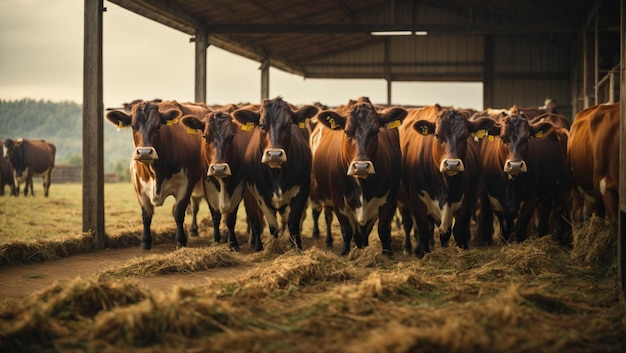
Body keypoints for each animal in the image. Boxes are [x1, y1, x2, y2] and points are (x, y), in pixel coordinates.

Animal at [103, 97, 208, 249]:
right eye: (133, 126)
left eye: (158, 126)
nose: (145, 152)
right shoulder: (139, 186)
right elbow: (146, 214)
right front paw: (145, 241)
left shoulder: (185, 184)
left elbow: (178, 212)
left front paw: (180, 240)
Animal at [179, 108, 262, 249]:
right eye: (205, 137)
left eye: (232, 136)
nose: (218, 168)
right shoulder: (208, 187)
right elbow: (215, 216)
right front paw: (216, 240)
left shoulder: (238, 189)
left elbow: (230, 219)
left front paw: (233, 243)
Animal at [229, 96, 316, 250]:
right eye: (262, 125)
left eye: (289, 125)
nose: (275, 155)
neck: (277, 174)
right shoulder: (261, 197)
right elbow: (272, 226)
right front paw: (273, 248)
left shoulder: (302, 192)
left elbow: (293, 224)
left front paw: (296, 247)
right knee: (255, 221)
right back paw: (256, 245)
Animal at [310, 97, 408, 253]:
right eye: (347, 132)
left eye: (376, 131)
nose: (361, 167)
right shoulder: (339, 201)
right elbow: (346, 231)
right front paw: (346, 252)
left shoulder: (389, 201)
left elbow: (382, 230)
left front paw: (386, 253)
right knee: (327, 216)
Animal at [472, 110, 572, 245]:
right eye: (503, 138)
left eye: (527, 139)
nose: (515, 165)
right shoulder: (496, 202)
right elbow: (505, 232)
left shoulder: (529, 201)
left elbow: (520, 230)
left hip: (556, 192)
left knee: (551, 220)